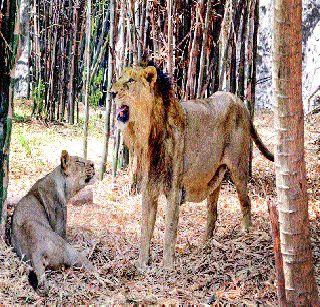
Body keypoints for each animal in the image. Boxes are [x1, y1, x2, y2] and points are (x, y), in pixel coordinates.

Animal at [11, 151, 96, 294]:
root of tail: (35, 253)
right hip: (68, 250)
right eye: (79, 161)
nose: (93, 164)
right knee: (86, 263)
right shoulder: (60, 218)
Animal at [111, 65, 274, 270]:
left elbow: (169, 230)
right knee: (212, 211)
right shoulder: (148, 188)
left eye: (131, 81)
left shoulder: (174, 189)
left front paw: (167, 267)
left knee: (246, 202)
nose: (111, 93)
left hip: (238, 168)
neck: (148, 133)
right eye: (119, 78)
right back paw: (204, 244)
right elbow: (145, 228)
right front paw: (141, 264)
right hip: (215, 175)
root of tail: (239, 101)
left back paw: (247, 234)